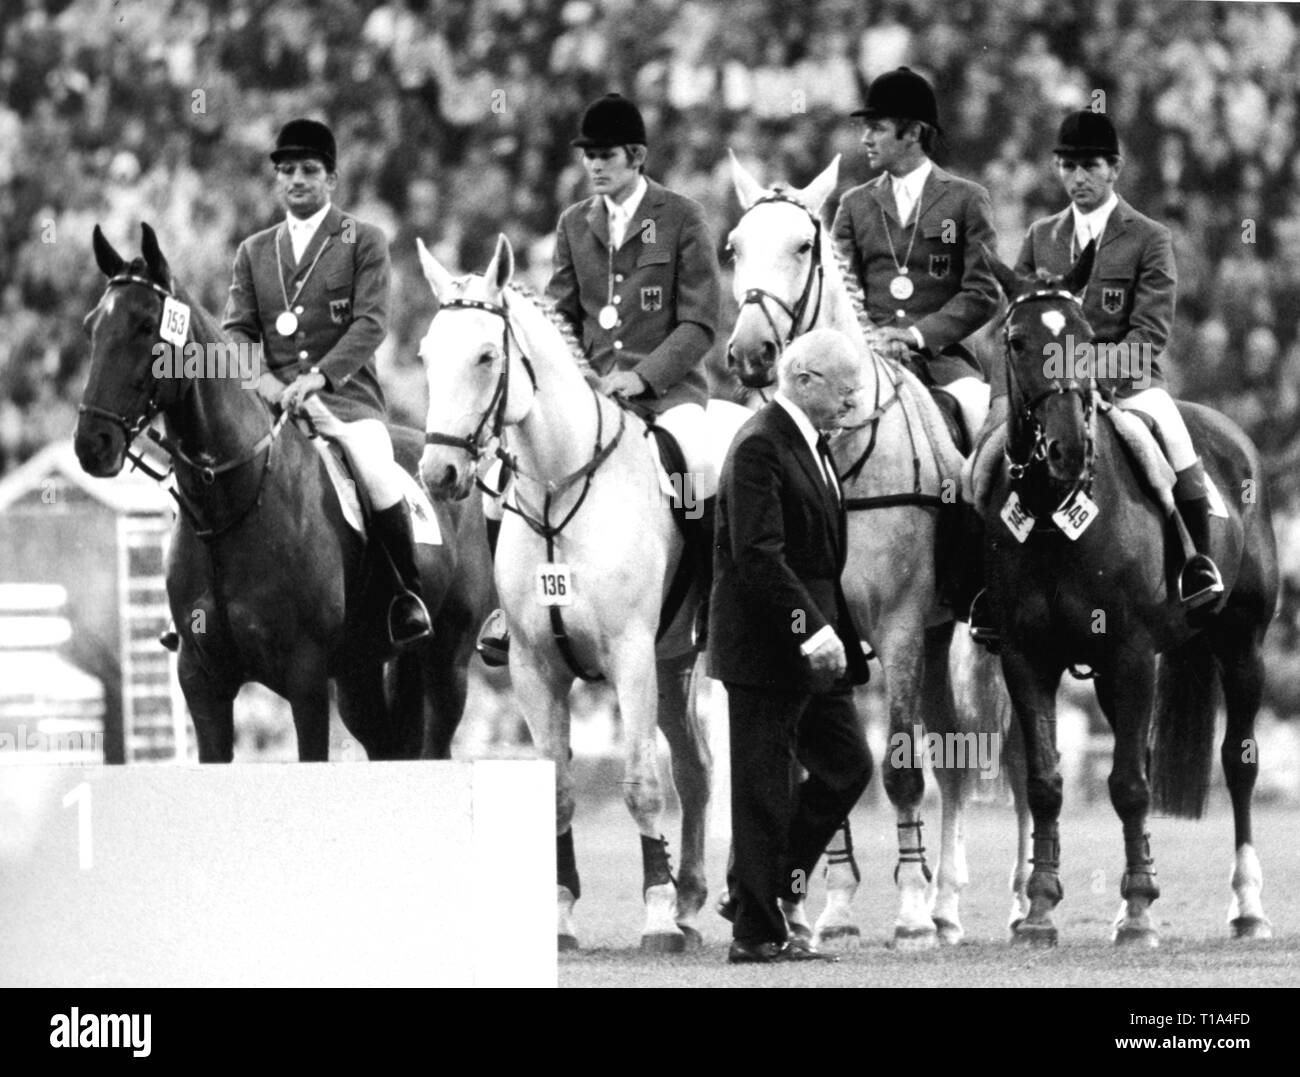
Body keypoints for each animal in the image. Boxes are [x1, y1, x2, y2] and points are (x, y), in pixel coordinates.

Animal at [77, 225, 491, 764]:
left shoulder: (305, 679)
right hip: (359, 675)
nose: (92, 444)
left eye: (147, 325)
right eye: (92, 327)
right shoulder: (201, 682)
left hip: (446, 664)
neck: (230, 506)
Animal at [410, 234, 748, 952]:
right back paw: (690, 900)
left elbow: (641, 783)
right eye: (425, 354)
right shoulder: (534, 666)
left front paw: (654, 917)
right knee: (698, 771)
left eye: (486, 356)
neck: (559, 483)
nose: (440, 472)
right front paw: (562, 916)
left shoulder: (630, 658)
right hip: (673, 665)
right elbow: (560, 787)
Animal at [728, 153, 1029, 952]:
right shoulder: (825, 629)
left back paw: (1006, 901)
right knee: (955, 757)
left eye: (802, 245)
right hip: (937, 636)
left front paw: (910, 912)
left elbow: (899, 770)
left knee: (1010, 762)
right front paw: (824, 906)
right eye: (733, 246)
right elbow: (822, 770)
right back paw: (951, 903)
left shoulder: (894, 629)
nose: (750, 353)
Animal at [977, 244, 1274, 941]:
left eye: (1086, 338)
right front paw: (1039, 908)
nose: (1065, 448)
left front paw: (1139, 910)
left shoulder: (1133, 655)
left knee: (1238, 764)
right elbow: (1046, 782)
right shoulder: (1025, 657)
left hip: (1242, 646)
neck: (1054, 513)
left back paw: (1247, 906)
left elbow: (1130, 785)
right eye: (1017, 340)